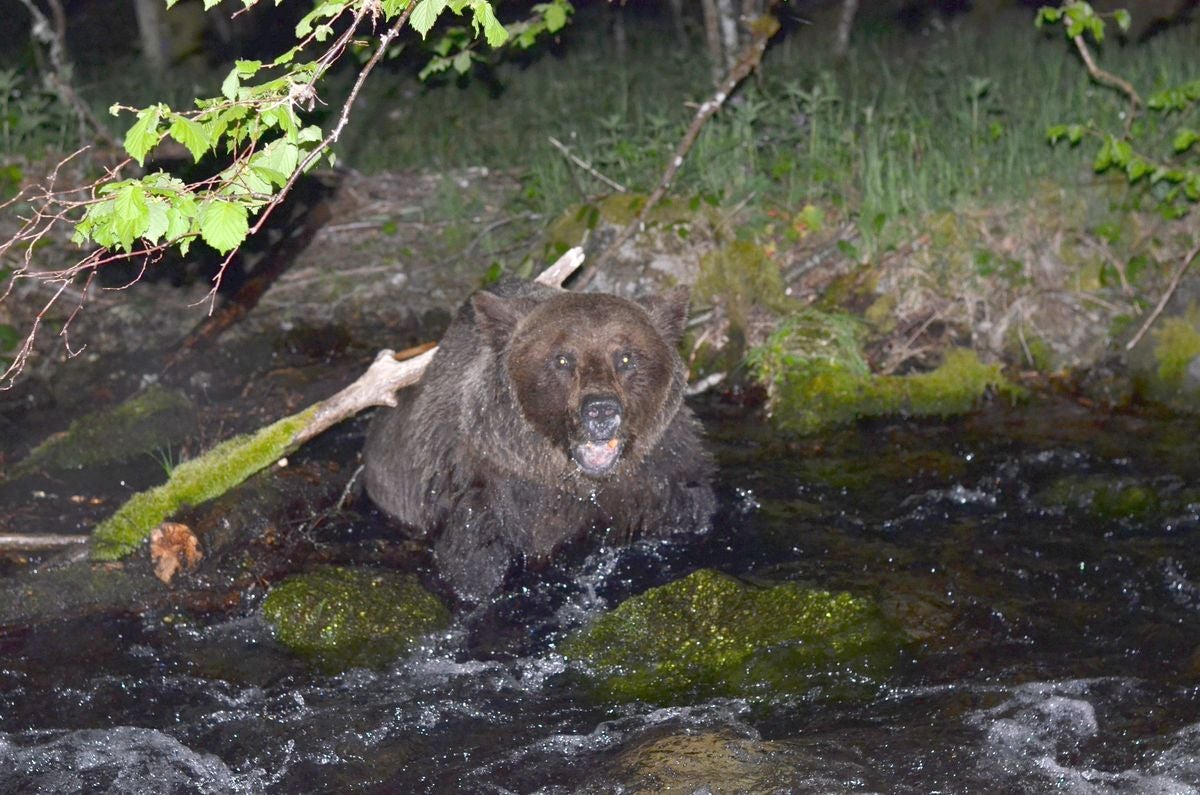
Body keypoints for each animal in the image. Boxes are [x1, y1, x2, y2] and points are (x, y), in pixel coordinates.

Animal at [362, 278, 710, 605]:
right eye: (562, 360)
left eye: (625, 358)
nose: (600, 410)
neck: (574, 482)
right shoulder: (484, 496)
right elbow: (472, 569)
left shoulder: (663, 478)